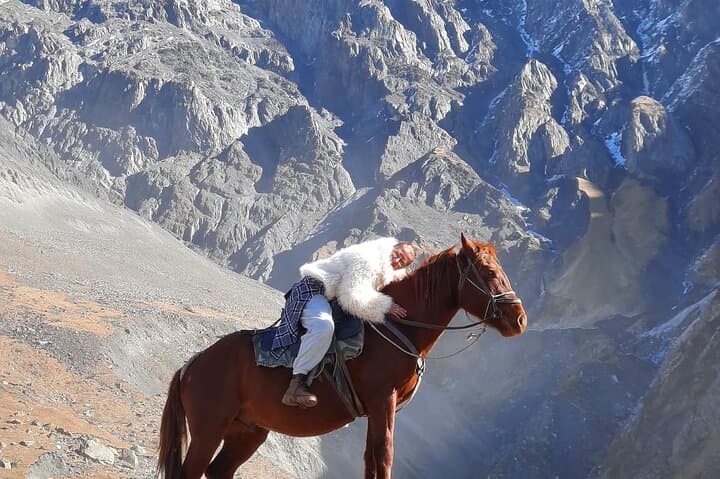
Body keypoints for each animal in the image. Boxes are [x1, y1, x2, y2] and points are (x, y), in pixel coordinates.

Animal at [157, 233, 528, 479]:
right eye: (489, 272)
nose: (519, 319)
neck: (399, 328)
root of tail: (192, 365)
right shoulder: (382, 401)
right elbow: (383, 456)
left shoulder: (378, 410)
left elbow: (370, 458)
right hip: (209, 431)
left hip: (247, 432)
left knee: (219, 471)